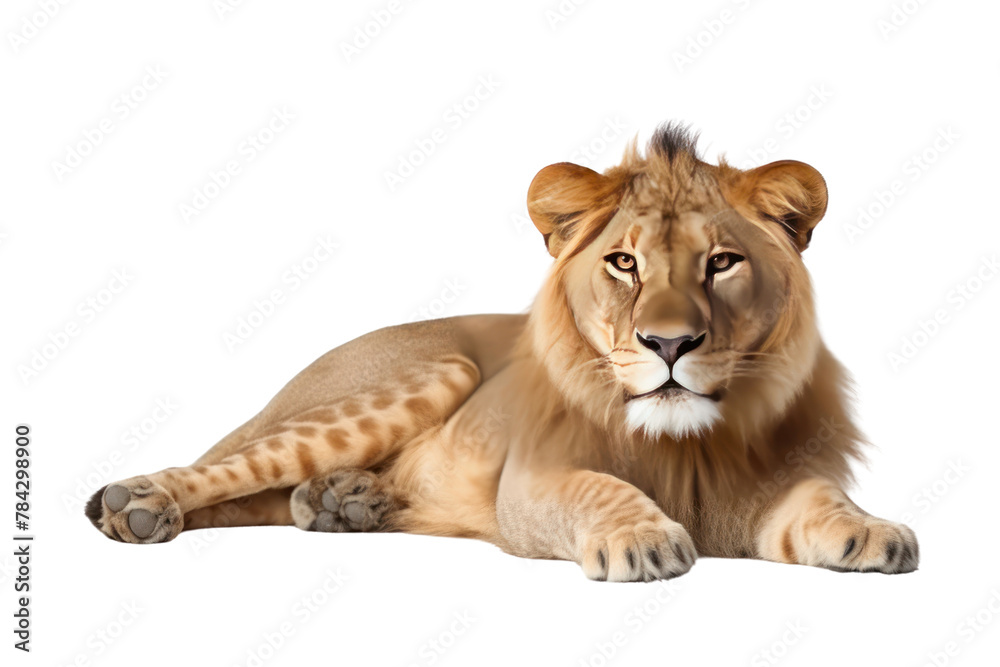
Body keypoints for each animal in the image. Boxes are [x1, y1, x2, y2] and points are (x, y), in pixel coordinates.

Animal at [86, 124, 918, 581]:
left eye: (721, 263)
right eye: (624, 263)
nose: (670, 342)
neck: (686, 443)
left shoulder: (769, 482)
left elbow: (823, 499)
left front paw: (876, 531)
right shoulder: (534, 479)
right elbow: (599, 489)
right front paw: (643, 536)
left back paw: (340, 501)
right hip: (431, 369)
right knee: (229, 466)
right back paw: (139, 507)